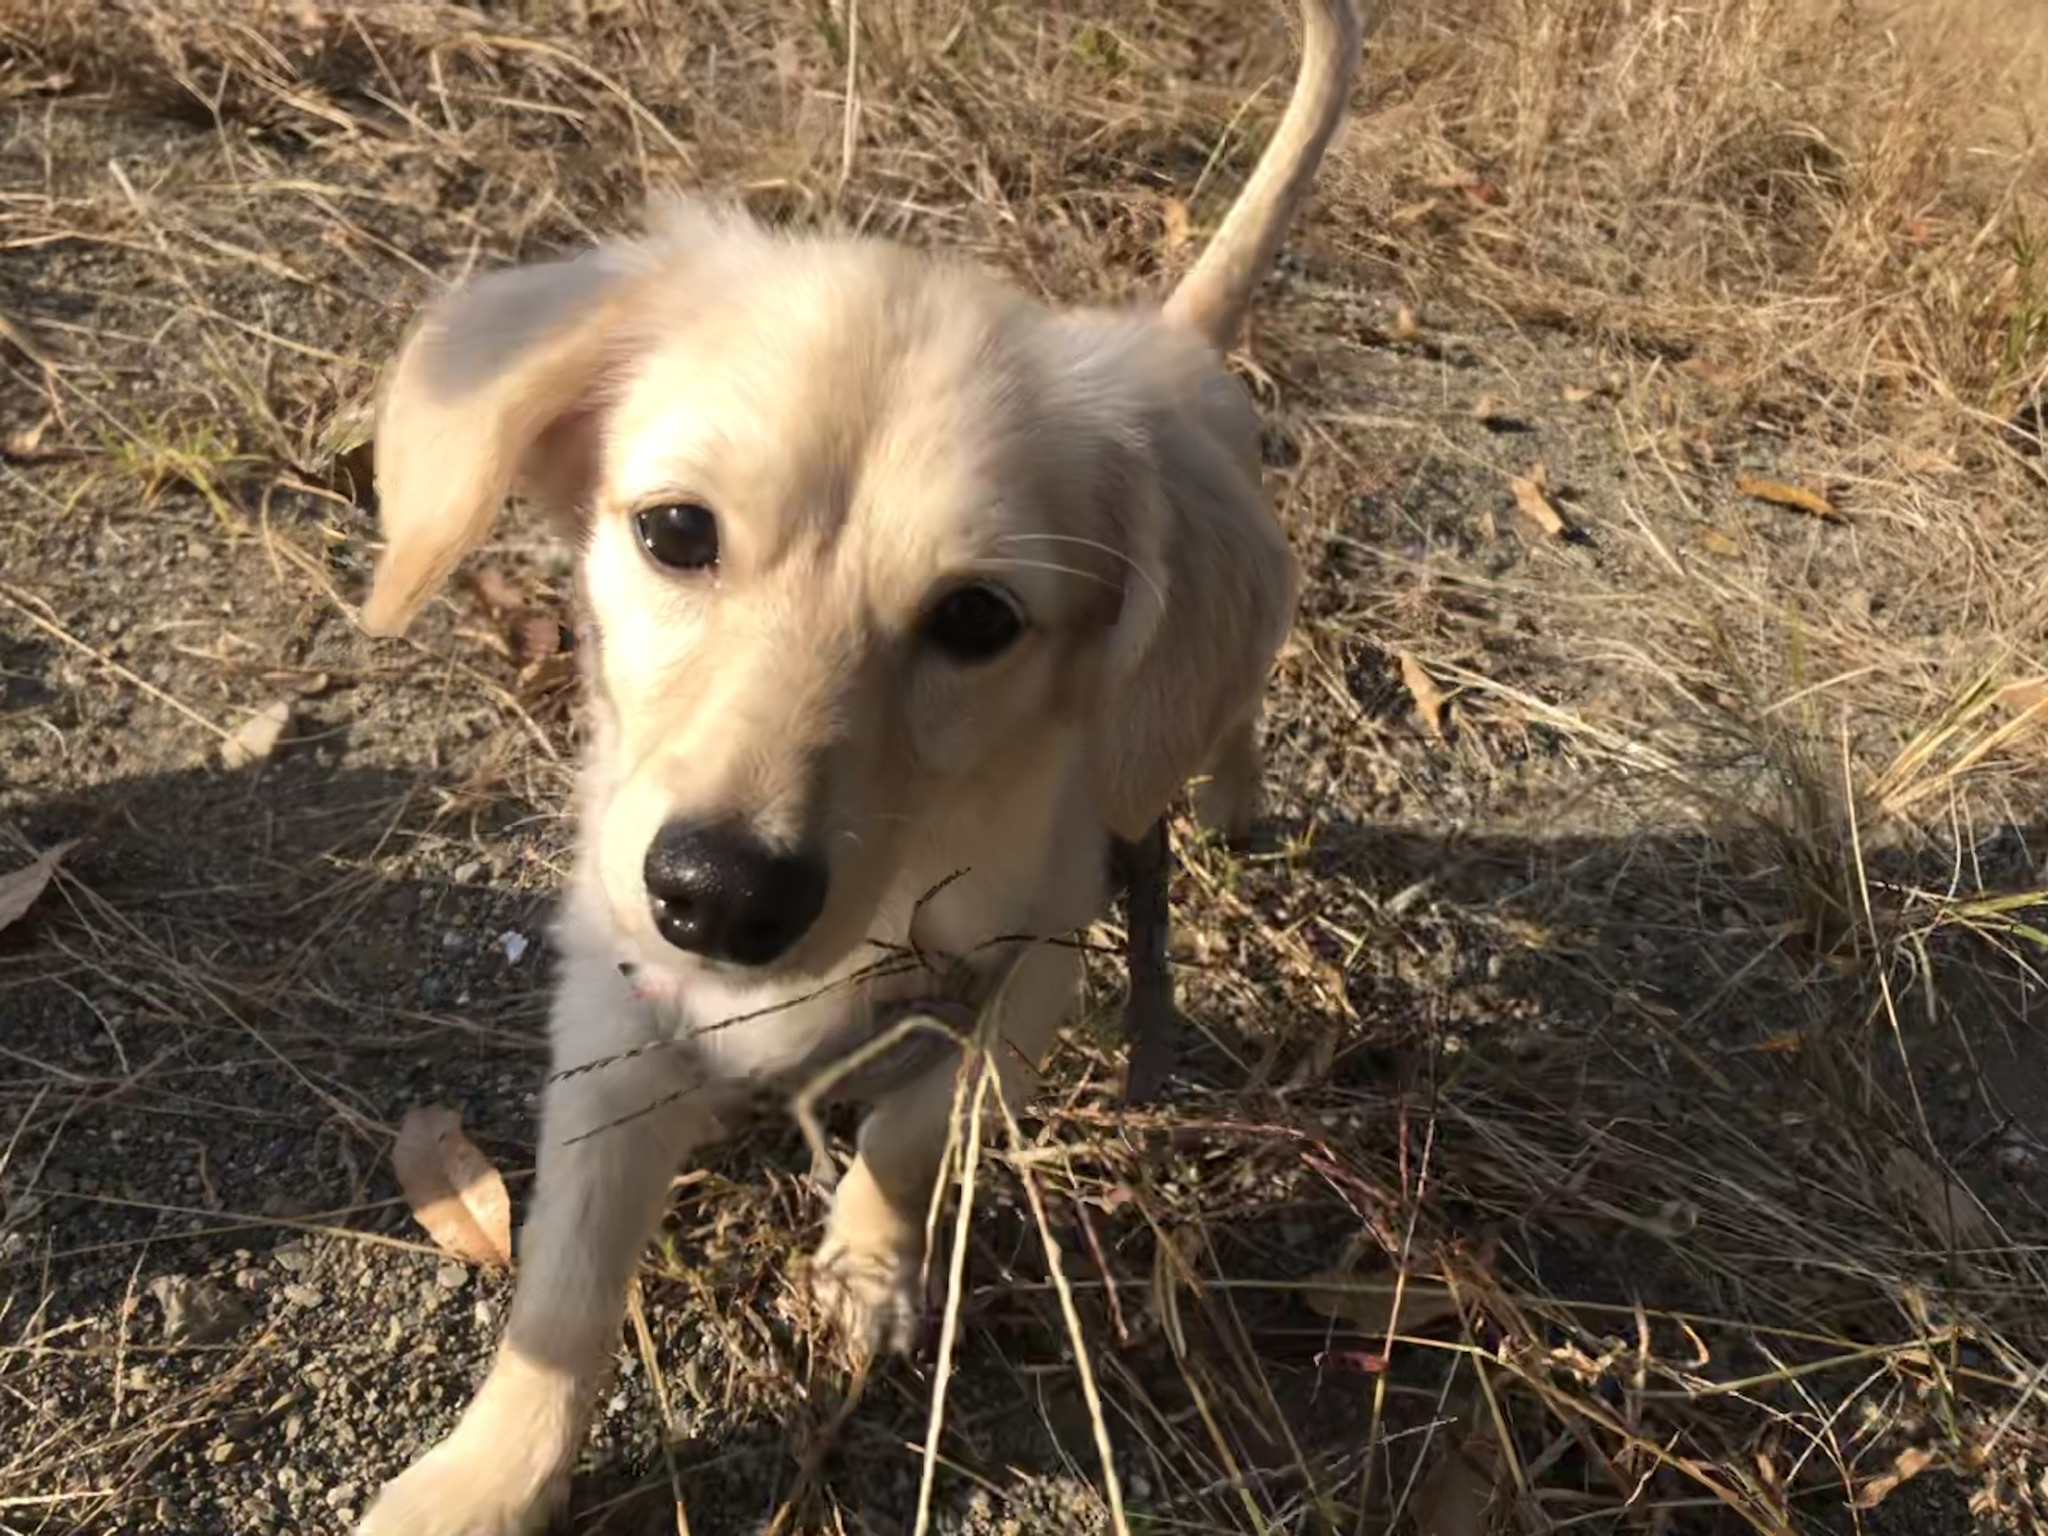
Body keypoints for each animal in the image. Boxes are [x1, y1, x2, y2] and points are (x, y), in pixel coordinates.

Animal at [352, 6, 1359, 1531]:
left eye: (978, 620)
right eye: (675, 531)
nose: (718, 897)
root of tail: (1165, 336)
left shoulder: (1024, 985)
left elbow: (903, 1133)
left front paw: (871, 1269)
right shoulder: (615, 1013)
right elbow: (566, 1290)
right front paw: (485, 1478)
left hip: (1221, 675)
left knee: (1216, 730)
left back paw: (1233, 807)